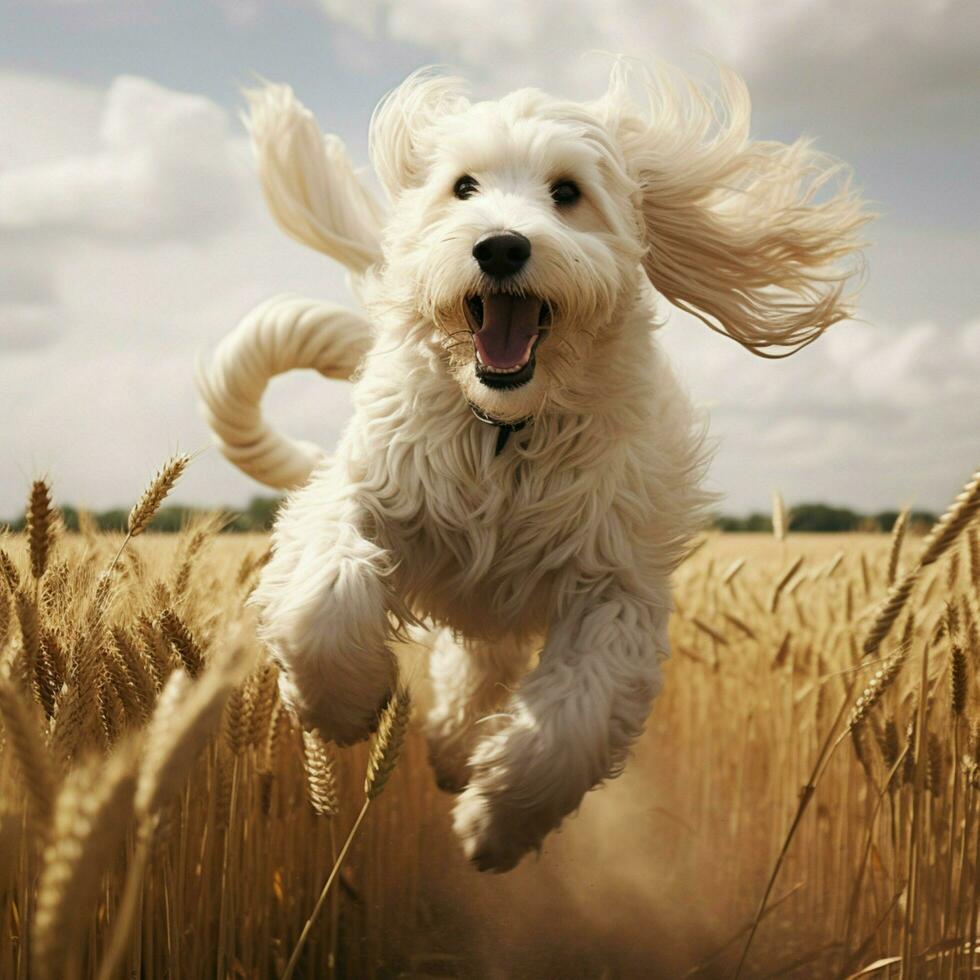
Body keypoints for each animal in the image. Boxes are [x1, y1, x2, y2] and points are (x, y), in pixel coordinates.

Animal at [197, 63, 864, 872]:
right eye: (463, 187)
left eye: (567, 191)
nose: (501, 248)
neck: (506, 434)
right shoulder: (361, 494)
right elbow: (323, 597)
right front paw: (345, 704)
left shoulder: (615, 588)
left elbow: (573, 718)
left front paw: (498, 822)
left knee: (479, 670)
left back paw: (457, 755)